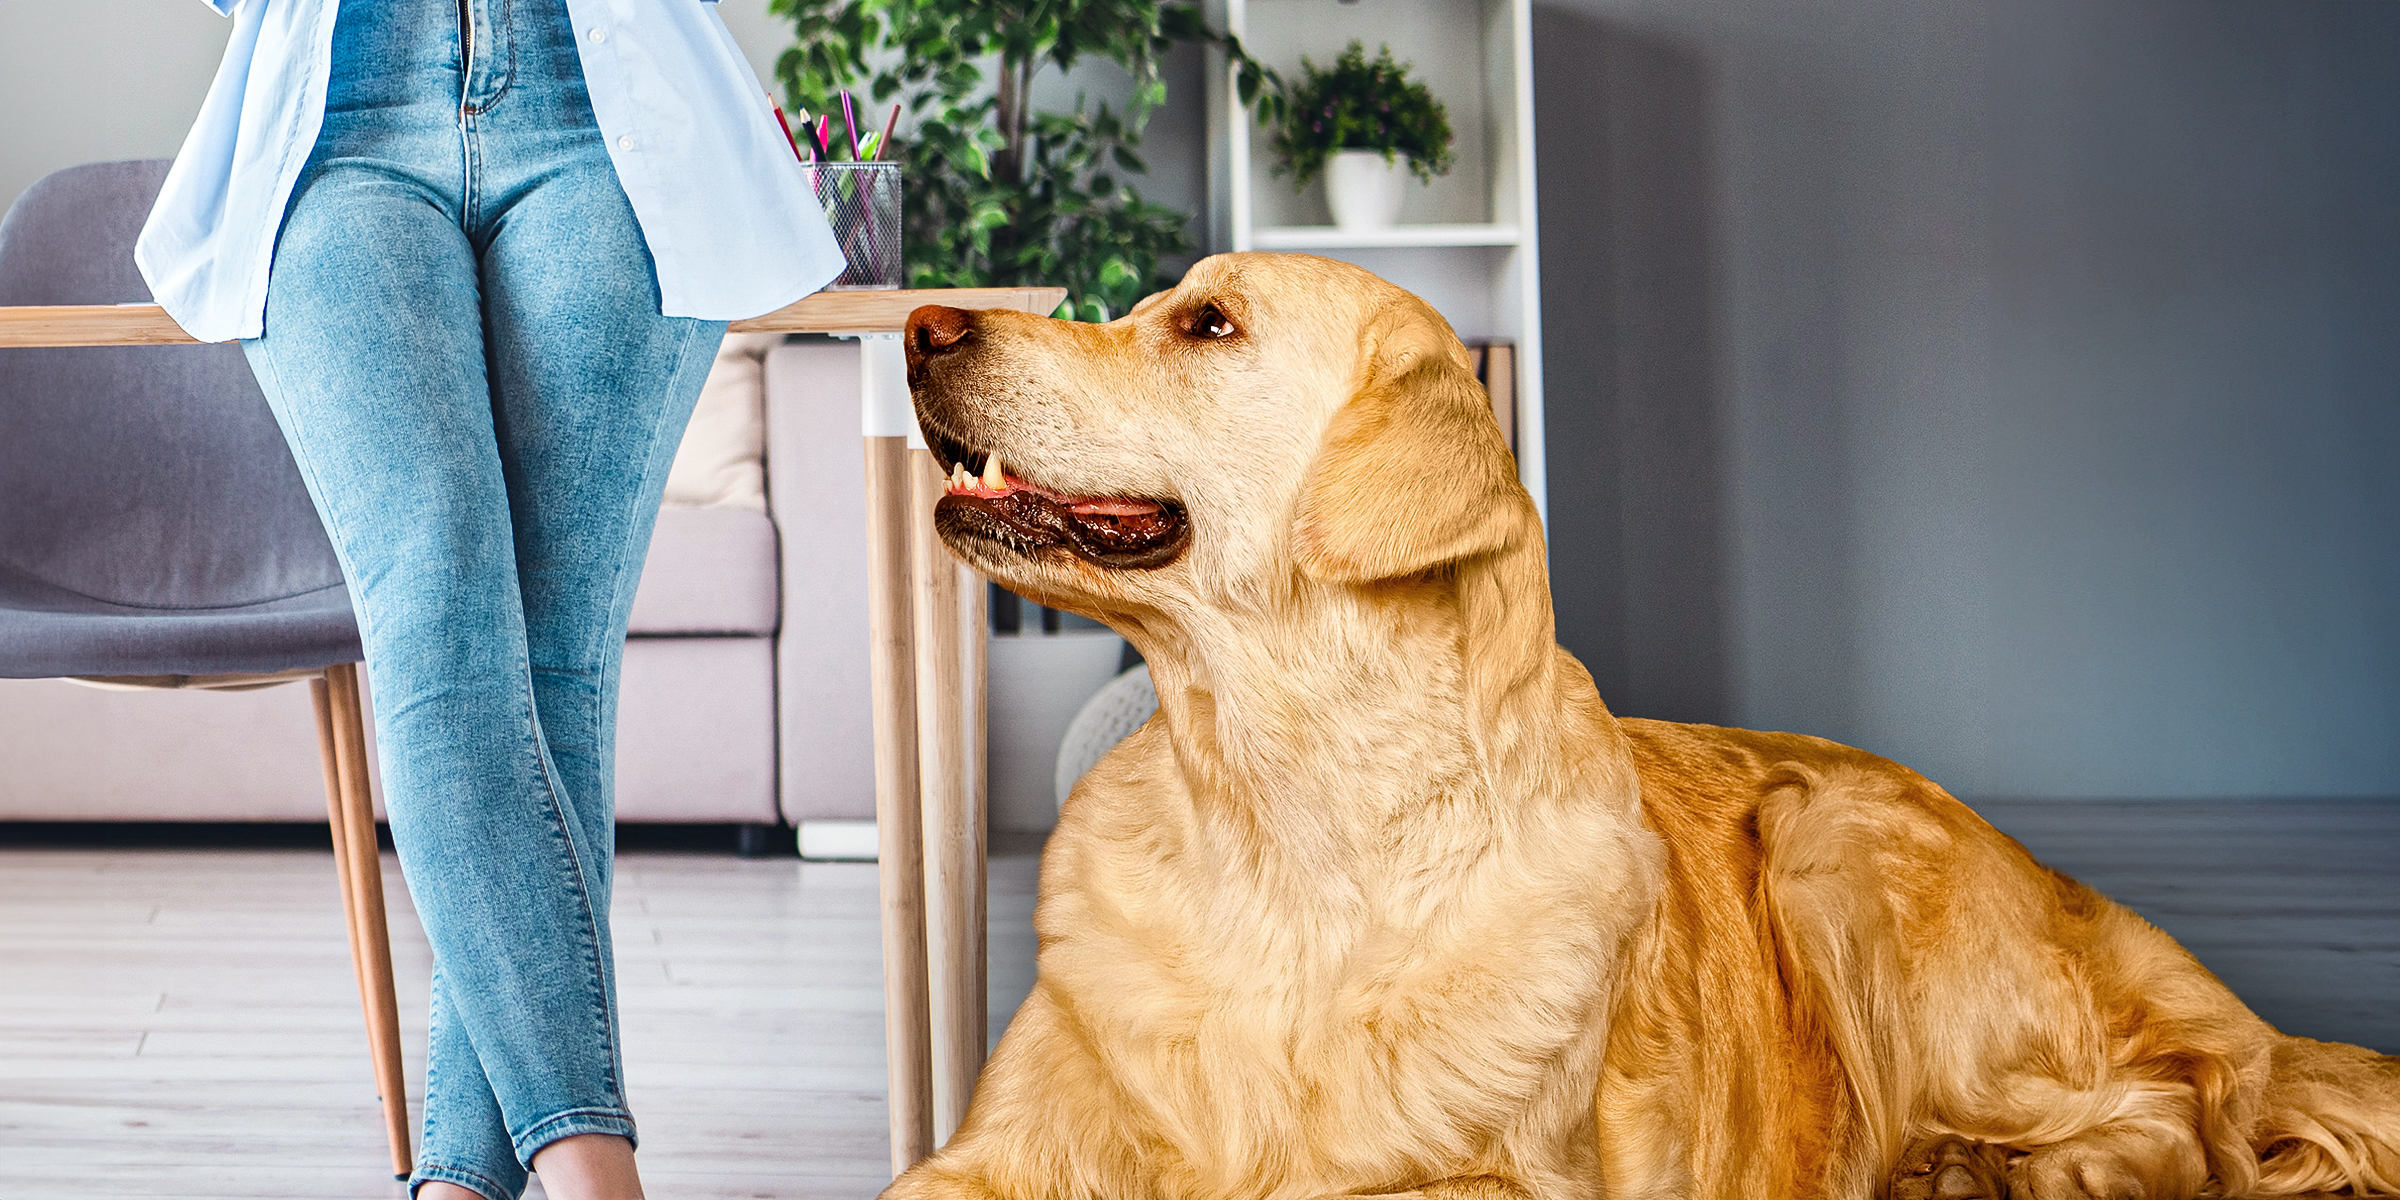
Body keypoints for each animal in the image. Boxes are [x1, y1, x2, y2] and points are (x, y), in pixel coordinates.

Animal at [888, 253, 2400, 1200]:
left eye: (1208, 324)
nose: (921, 326)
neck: (1281, 828)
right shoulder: (984, 1155)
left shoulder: (1497, 1180)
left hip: (1839, 846)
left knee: (2193, 1112)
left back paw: (2030, 1169)